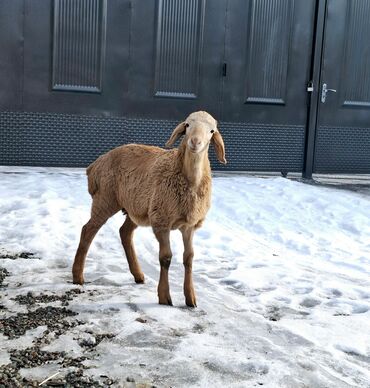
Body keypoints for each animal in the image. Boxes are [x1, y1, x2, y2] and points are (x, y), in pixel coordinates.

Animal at [72, 110, 225, 308]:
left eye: (212, 131)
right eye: (187, 125)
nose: (195, 142)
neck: (189, 181)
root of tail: (95, 165)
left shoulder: (189, 225)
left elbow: (189, 258)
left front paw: (190, 297)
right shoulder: (161, 220)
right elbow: (166, 257)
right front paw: (164, 297)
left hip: (135, 208)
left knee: (124, 232)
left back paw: (138, 275)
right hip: (105, 199)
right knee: (88, 230)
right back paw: (78, 276)